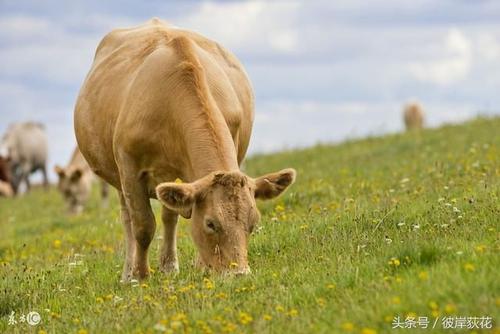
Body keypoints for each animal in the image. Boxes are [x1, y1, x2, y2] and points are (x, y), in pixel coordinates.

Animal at [74, 17, 296, 280]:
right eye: (211, 223)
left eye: (252, 223)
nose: (239, 273)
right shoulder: (129, 167)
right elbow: (143, 226)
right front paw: (141, 275)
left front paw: (198, 265)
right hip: (117, 176)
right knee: (127, 218)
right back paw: (128, 274)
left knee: (169, 216)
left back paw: (169, 266)